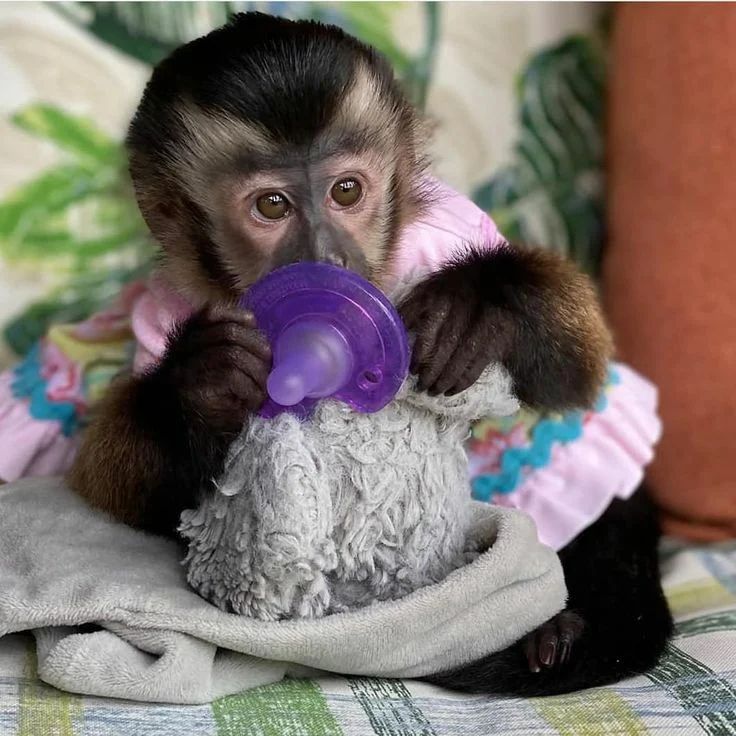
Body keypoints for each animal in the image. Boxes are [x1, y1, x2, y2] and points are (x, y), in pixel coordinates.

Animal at [68, 12, 673, 697]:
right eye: (272, 205)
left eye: (348, 191)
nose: (327, 257)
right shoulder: (163, 307)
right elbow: (131, 498)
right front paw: (202, 381)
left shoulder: (451, 228)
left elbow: (580, 372)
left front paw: (477, 306)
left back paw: (557, 628)